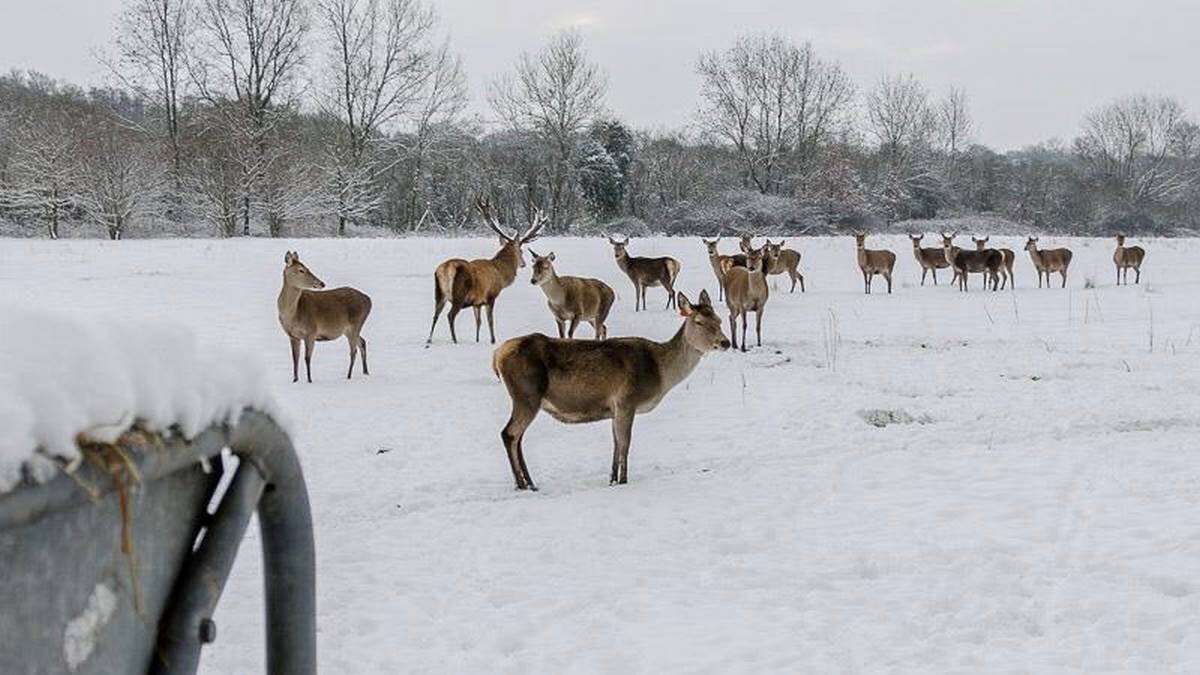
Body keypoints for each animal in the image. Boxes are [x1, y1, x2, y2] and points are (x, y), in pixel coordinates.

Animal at [276, 249, 369, 381]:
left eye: (307, 268)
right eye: (301, 270)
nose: (322, 283)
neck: (293, 314)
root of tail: (369, 300)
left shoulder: (311, 331)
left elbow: (307, 358)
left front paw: (309, 380)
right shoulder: (292, 335)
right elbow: (295, 359)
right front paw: (295, 380)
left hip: (356, 324)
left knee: (353, 350)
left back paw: (349, 376)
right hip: (348, 329)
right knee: (362, 342)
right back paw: (365, 372)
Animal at [427, 193, 549, 341]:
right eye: (521, 251)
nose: (524, 264)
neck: (501, 274)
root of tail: (447, 268)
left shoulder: (477, 302)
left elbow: (478, 322)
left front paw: (477, 340)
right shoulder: (491, 295)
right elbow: (490, 321)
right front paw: (493, 340)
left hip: (439, 292)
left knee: (435, 315)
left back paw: (429, 340)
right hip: (459, 293)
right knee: (450, 315)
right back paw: (455, 340)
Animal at [489, 289, 729, 487]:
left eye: (718, 319)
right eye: (699, 322)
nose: (725, 342)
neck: (660, 373)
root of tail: (497, 356)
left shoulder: (614, 408)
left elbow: (615, 443)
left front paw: (612, 479)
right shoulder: (626, 400)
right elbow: (625, 444)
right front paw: (623, 480)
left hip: (526, 398)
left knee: (517, 437)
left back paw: (529, 481)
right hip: (526, 394)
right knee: (509, 434)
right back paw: (522, 483)